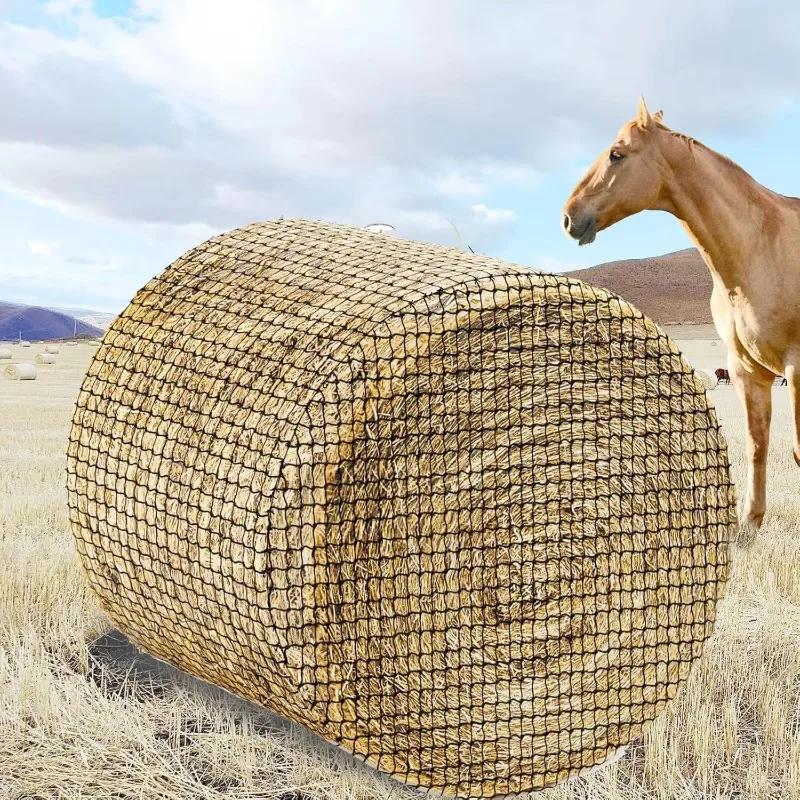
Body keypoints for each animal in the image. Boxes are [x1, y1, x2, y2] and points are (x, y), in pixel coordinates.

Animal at [563, 98, 800, 533]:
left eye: (617, 154)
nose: (569, 218)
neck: (761, 246)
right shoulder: (747, 370)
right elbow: (756, 447)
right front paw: (749, 525)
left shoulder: (797, 369)